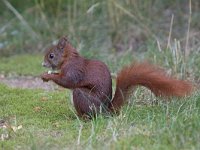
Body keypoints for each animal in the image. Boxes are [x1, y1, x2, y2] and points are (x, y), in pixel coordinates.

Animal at [40, 36, 192, 118]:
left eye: (51, 55)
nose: (42, 64)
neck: (68, 58)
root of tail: (106, 110)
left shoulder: (74, 69)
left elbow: (67, 81)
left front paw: (47, 76)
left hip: (85, 98)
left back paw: (83, 118)